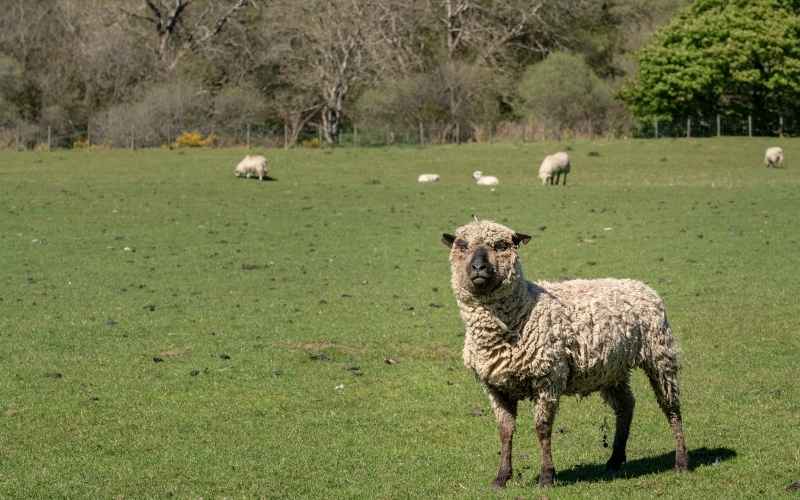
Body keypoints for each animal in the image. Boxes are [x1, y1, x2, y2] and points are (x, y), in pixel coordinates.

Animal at [441, 219, 688, 488]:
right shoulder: (495, 387)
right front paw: (501, 477)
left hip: (659, 355)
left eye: (501, 245)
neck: (522, 311)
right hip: (611, 369)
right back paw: (615, 459)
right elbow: (505, 432)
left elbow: (542, 428)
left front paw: (547, 476)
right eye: (461, 245)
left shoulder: (548, 378)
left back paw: (681, 462)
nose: (478, 267)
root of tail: (640, 285)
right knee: (625, 406)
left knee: (671, 407)